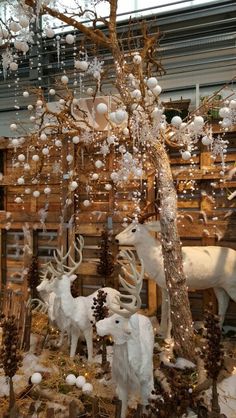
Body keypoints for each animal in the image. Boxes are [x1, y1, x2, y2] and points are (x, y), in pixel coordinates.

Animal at [96, 250, 155, 416]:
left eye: (117, 321)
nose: (97, 325)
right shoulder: (122, 384)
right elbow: (121, 410)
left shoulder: (144, 383)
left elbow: (143, 406)